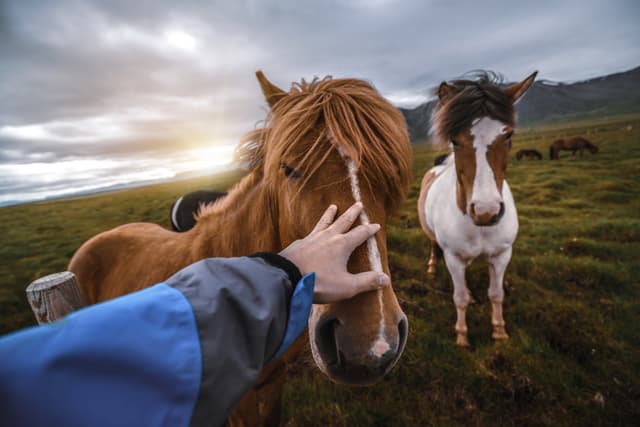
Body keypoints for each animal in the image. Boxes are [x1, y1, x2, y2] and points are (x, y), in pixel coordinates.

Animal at [417, 71, 537, 347]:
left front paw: (499, 332)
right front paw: (462, 337)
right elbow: (459, 297)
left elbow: (496, 294)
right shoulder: (453, 258)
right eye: (454, 140)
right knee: (432, 244)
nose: (486, 211)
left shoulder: (502, 254)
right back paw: (432, 266)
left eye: (508, 135)